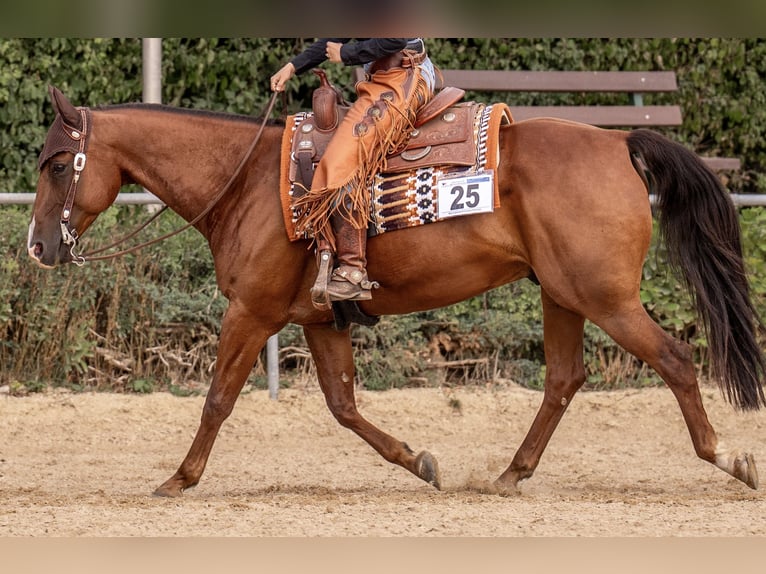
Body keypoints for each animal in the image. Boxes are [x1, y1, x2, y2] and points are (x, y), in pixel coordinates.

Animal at [27, 85, 765, 497]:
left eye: (60, 163)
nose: (37, 247)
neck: (247, 182)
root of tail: (617, 144)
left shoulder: (252, 312)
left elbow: (216, 400)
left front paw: (178, 478)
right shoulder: (320, 319)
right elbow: (344, 406)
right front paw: (419, 463)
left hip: (605, 298)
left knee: (674, 360)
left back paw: (729, 459)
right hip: (563, 295)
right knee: (563, 378)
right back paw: (509, 475)